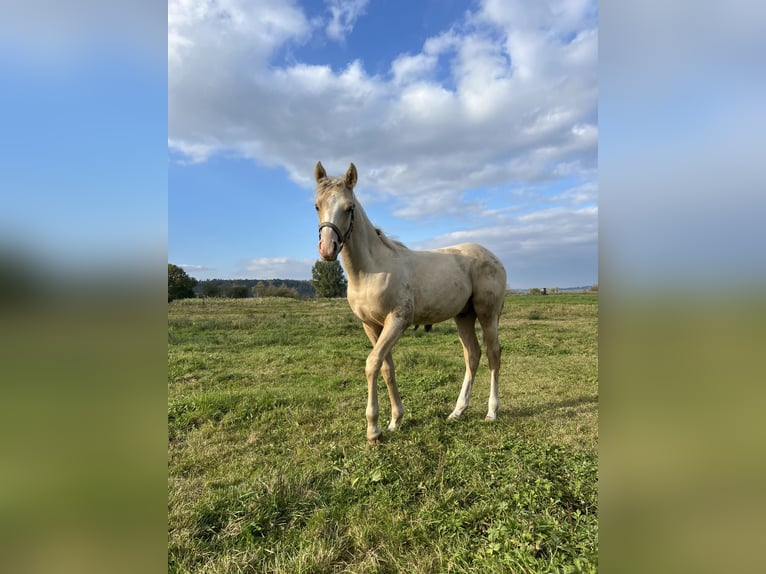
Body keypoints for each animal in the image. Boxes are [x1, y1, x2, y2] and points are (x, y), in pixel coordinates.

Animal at [316, 162, 508, 446]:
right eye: (317, 205)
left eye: (349, 207)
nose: (328, 248)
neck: (370, 270)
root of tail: (494, 257)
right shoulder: (370, 325)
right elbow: (386, 367)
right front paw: (395, 420)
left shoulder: (398, 320)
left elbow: (372, 364)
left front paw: (373, 429)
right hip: (464, 316)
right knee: (472, 355)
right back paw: (458, 411)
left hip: (487, 314)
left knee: (494, 354)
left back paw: (492, 412)